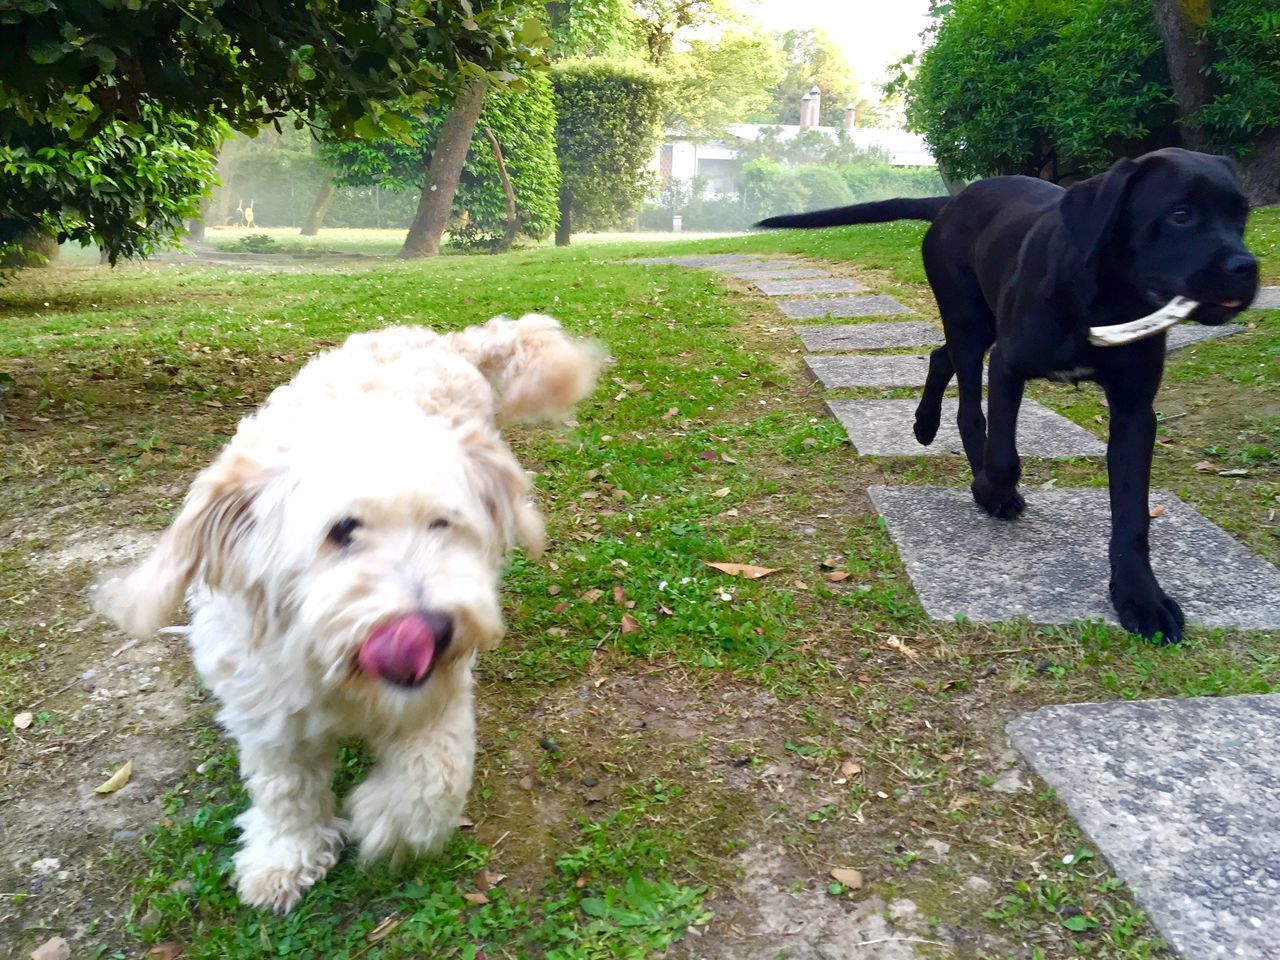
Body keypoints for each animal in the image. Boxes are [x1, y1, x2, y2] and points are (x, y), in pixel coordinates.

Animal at [94, 317, 604, 916]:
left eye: (442, 523)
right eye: (341, 530)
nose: (435, 630)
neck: (333, 667)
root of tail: (440, 337)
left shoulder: (439, 696)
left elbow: (434, 775)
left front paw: (387, 817)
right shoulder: (267, 709)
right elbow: (284, 788)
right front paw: (285, 855)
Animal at [757, 150, 1259, 642]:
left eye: (1242, 215)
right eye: (1180, 215)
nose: (1246, 268)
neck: (1106, 299)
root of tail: (952, 200)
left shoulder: (1134, 410)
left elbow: (1132, 513)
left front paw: (1141, 598)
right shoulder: (1007, 366)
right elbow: (1003, 458)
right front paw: (989, 490)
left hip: (980, 322)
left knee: (940, 356)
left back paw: (925, 424)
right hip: (969, 318)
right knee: (966, 404)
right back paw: (946, 442)